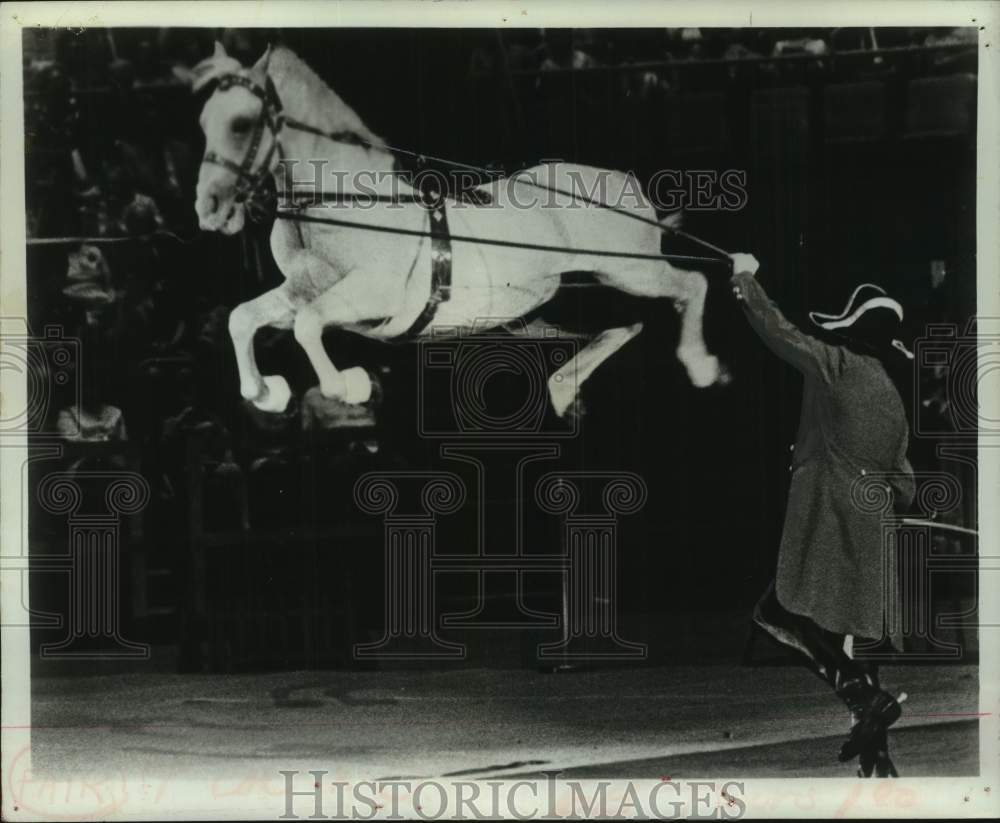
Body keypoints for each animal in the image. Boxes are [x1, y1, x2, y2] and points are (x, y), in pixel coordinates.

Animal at [182, 43, 728, 418]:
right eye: (204, 122)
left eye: (241, 124)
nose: (208, 208)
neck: (344, 203)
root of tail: (624, 182)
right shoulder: (301, 288)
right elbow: (244, 318)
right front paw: (264, 392)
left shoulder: (374, 294)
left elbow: (307, 326)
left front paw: (347, 386)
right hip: (547, 309)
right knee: (623, 326)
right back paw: (563, 391)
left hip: (632, 271)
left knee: (691, 285)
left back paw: (702, 365)